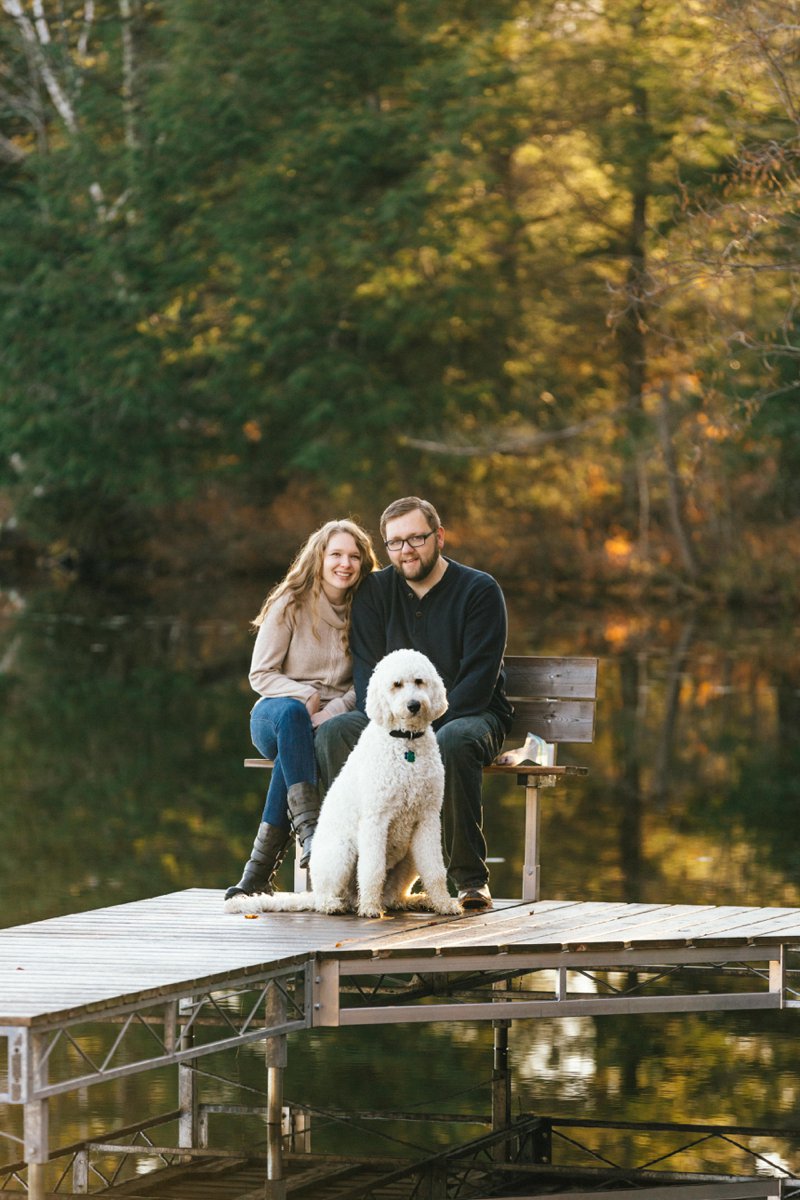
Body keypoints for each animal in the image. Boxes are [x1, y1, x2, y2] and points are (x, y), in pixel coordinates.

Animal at [225, 648, 462, 916]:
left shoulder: (427, 818)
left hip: (410, 854)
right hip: (342, 852)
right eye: (397, 684)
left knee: (392, 896)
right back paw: (339, 904)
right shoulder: (376, 819)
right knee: (330, 896)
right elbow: (372, 870)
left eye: (419, 681)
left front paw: (444, 903)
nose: (414, 705)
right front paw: (370, 909)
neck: (406, 742)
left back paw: (412, 900)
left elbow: (435, 870)